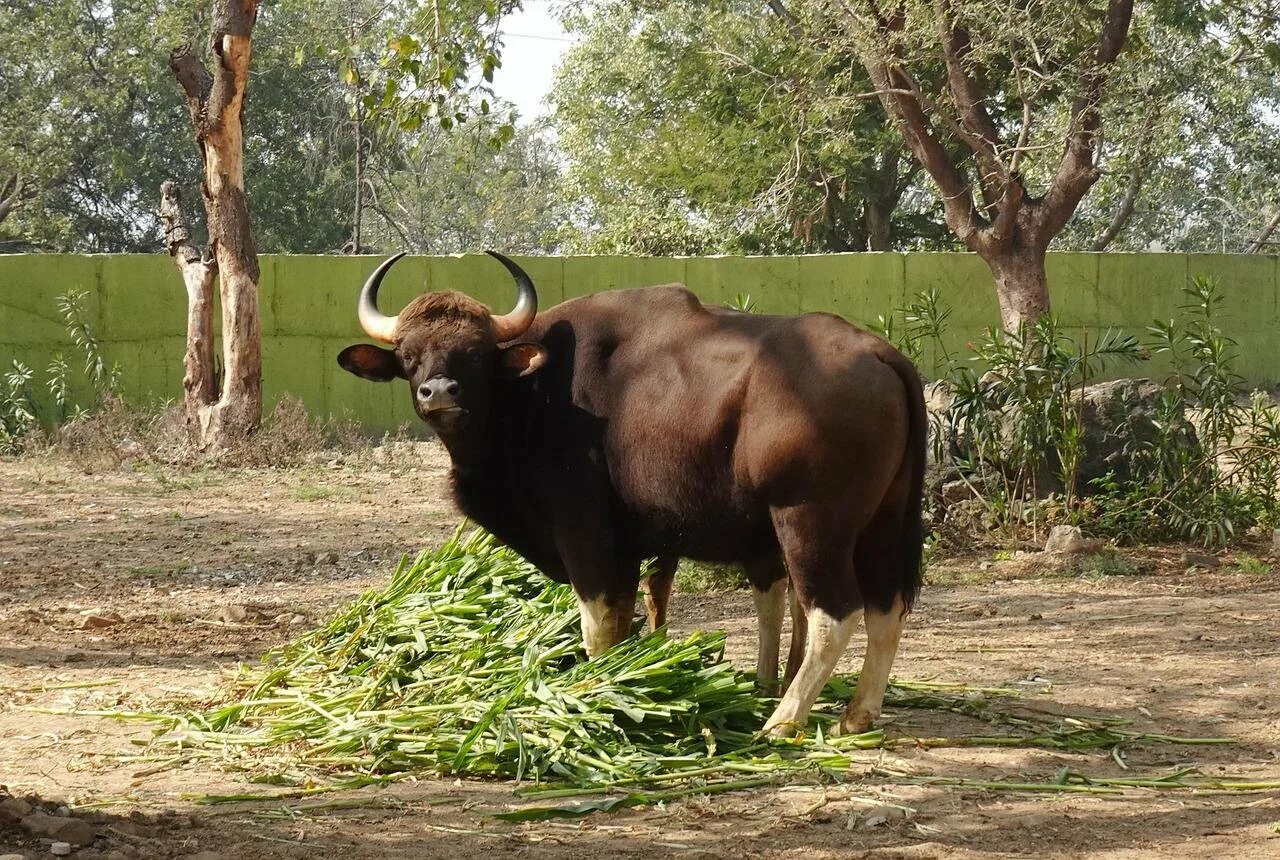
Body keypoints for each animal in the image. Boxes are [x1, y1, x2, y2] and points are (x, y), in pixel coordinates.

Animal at [335, 252, 926, 737]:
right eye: (408, 355)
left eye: (477, 354)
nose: (439, 392)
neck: (534, 395)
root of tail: (882, 354)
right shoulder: (636, 549)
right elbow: (627, 620)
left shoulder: (586, 536)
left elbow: (598, 626)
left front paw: (595, 694)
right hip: (883, 520)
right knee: (886, 606)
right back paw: (857, 713)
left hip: (809, 523)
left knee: (836, 612)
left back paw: (783, 720)